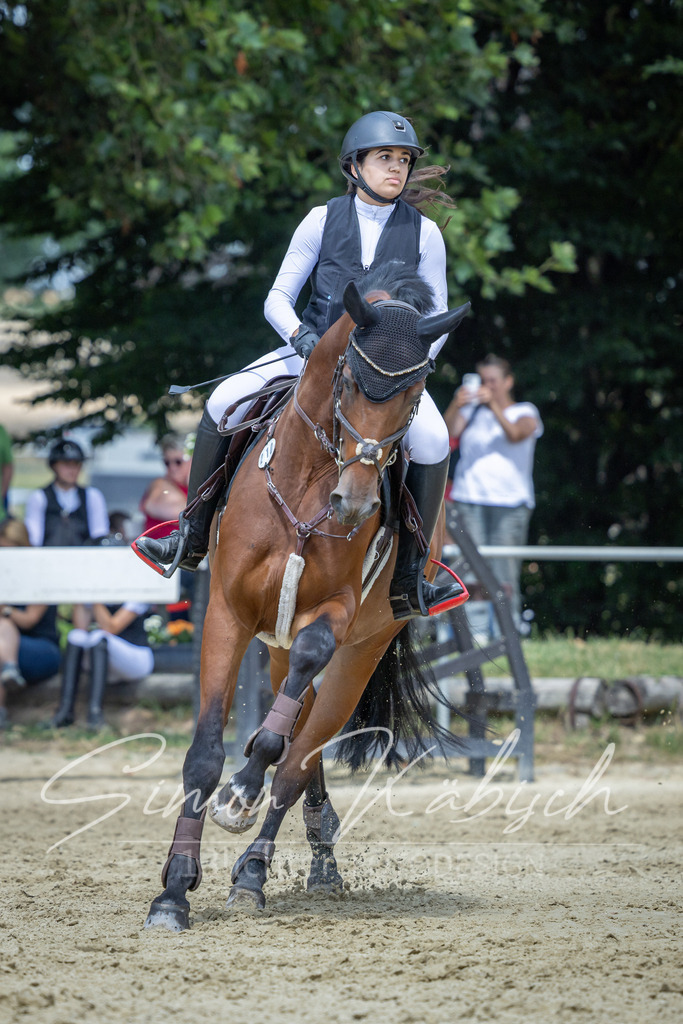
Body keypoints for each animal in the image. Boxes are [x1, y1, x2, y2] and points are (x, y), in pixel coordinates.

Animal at [143, 264, 470, 930]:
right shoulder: (228, 614)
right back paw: (307, 844)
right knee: (299, 727)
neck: (310, 480)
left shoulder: (334, 618)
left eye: (414, 394)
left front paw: (240, 794)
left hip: (361, 651)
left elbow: (277, 743)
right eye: (347, 379)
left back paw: (256, 870)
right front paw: (173, 892)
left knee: (298, 757)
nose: (356, 505)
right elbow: (204, 753)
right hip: (273, 645)